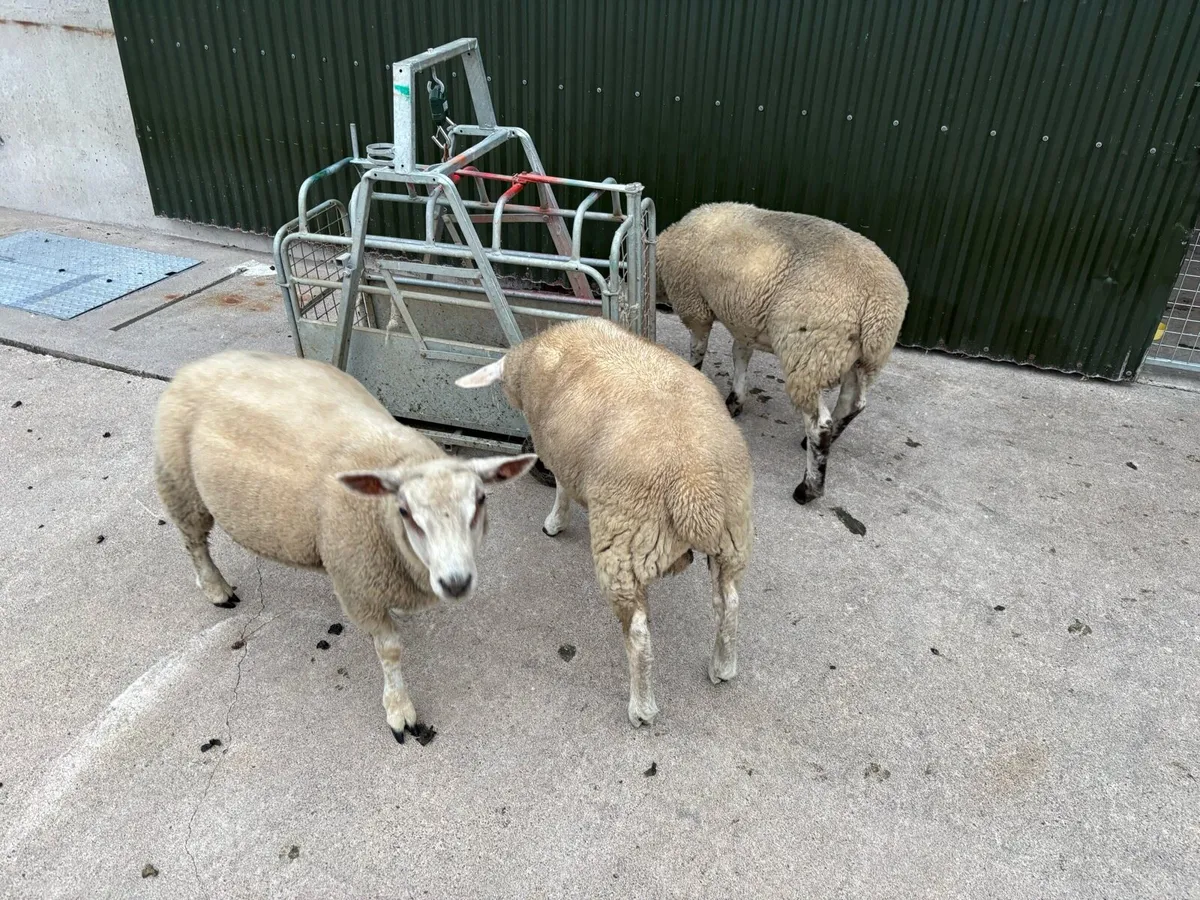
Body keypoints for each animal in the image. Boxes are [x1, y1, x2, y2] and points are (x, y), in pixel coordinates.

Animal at [153, 350, 536, 743]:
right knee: (195, 543)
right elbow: (390, 650)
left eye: (481, 499)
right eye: (404, 511)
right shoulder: (359, 590)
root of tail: (200, 363)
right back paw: (216, 588)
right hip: (181, 484)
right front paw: (399, 710)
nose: (455, 582)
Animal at [456, 317, 753, 728]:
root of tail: (694, 488)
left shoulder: (557, 451)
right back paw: (722, 668)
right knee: (730, 602)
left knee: (639, 633)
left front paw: (554, 522)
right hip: (732, 533)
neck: (533, 357)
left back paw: (641, 708)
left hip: (624, 545)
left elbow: (561, 487)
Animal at [656, 202, 909, 505]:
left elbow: (698, 349)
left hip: (811, 354)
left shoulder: (696, 306)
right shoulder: (745, 318)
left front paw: (694, 374)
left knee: (819, 424)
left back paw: (809, 487)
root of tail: (878, 307)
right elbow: (740, 355)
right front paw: (735, 400)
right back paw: (820, 440)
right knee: (853, 404)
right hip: (860, 359)